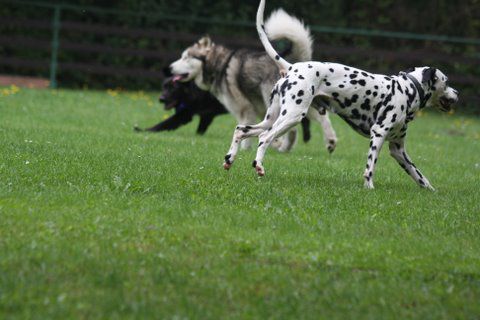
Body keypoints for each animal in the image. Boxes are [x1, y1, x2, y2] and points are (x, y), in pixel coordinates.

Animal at [171, 10, 336, 152]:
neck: (219, 64)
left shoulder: (244, 109)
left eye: (186, 57)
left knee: (293, 129)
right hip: (306, 102)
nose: (170, 68)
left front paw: (245, 149)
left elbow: (248, 132)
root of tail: (292, 65)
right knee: (321, 118)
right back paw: (329, 142)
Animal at [223, 0, 460, 190]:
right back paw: (259, 166)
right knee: (264, 138)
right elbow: (370, 168)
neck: (408, 90)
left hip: (272, 118)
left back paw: (229, 158)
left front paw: (431, 191)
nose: (457, 93)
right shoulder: (378, 135)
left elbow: (419, 175)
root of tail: (292, 68)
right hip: (292, 117)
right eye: (447, 81)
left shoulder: (398, 149)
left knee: (241, 130)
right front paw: (369, 187)